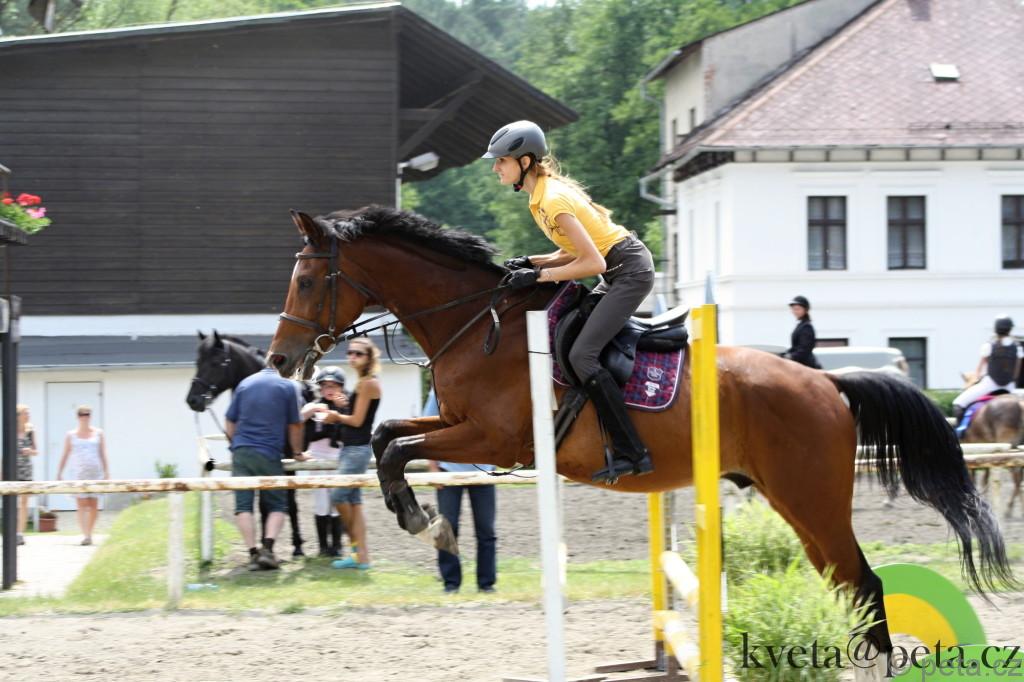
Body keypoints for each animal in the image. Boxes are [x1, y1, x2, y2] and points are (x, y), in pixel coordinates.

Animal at [267, 205, 1015, 653]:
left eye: (305, 281)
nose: (278, 360)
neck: (475, 320)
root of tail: (829, 384)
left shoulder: (498, 440)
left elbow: (398, 447)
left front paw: (427, 523)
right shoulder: (455, 423)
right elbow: (388, 437)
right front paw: (426, 520)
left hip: (812, 499)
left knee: (863, 584)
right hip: (797, 504)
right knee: (846, 583)